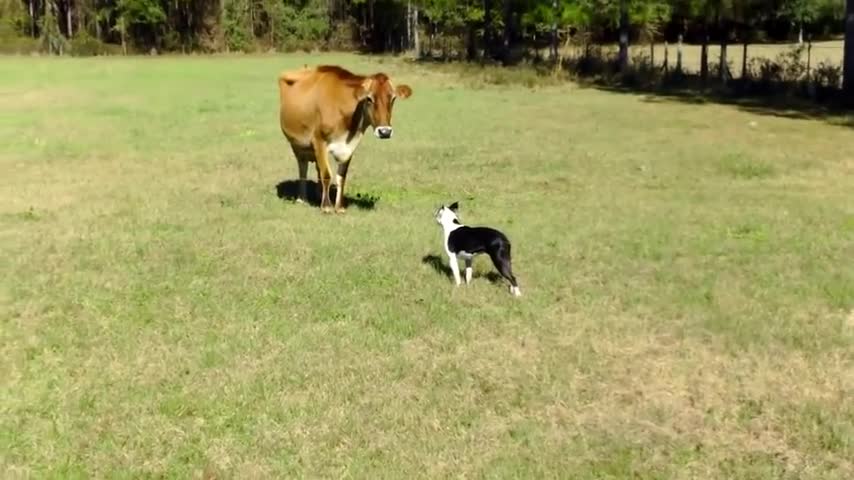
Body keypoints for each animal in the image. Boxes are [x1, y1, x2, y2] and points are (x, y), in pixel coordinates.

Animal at [278, 65, 414, 214]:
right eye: (369, 99)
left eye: (393, 98)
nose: (385, 131)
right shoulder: (319, 141)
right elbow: (326, 174)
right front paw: (326, 206)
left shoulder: (349, 147)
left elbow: (341, 177)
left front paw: (339, 206)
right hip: (297, 144)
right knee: (303, 167)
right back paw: (302, 198)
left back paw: (319, 195)